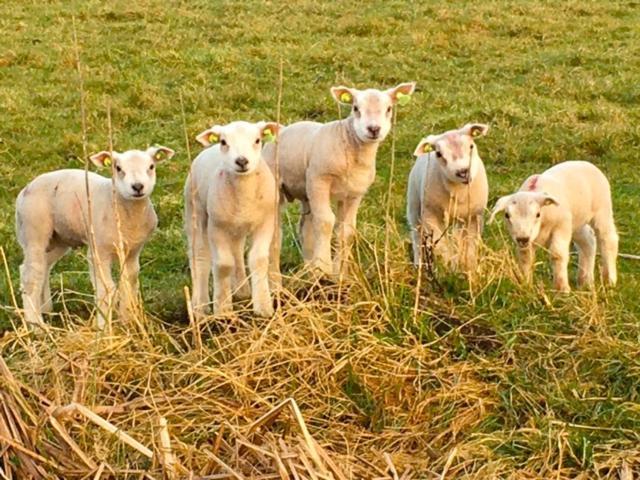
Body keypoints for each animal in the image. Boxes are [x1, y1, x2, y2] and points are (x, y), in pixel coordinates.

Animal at [15, 144, 175, 328]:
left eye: (151, 166)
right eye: (118, 168)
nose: (137, 186)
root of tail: (25, 189)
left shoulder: (133, 250)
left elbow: (129, 282)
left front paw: (128, 321)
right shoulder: (98, 251)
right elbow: (107, 288)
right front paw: (103, 327)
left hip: (58, 239)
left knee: (41, 268)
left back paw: (45, 309)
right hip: (33, 231)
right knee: (31, 276)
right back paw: (36, 325)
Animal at [182, 120, 278, 316]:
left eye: (257, 140)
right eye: (224, 142)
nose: (241, 161)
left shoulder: (265, 223)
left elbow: (258, 259)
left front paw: (263, 306)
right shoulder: (216, 227)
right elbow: (223, 265)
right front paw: (223, 309)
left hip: (235, 227)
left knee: (237, 250)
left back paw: (242, 291)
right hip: (195, 212)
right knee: (200, 257)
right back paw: (200, 306)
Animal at [264, 83, 418, 278]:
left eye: (389, 108)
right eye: (355, 108)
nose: (373, 129)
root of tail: (282, 129)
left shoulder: (354, 193)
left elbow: (346, 230)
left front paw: (339, 274)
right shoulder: (319, 180)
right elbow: (325, 221)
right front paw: (324, 268)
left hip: (306, 192)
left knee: (306, 228)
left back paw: (309, 270)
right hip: (278, 186)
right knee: (276, 233)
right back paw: (275, 276)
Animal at [408, 122, 492, 272]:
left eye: (471, 146)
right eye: (439, 153)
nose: (463, 172)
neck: (459, 192)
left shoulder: (474, 216)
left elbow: (469, 246)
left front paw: (469, 268)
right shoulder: (431, 215)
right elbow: (442, 246)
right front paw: (450, 267)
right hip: (414, 202)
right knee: (417, 235)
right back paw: (419, 264)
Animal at [490, 160, 620, 292]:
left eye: (537, 214)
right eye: (507, 215)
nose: (523, 238)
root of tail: (584, 162)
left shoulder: (561, 226)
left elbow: (557, 255)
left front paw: (562, 288)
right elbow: (525, 258)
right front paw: (526, 286)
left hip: (602, 209)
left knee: (608, 240)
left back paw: (609, 280)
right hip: (576, 222)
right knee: (588, 241)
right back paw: (585, 281)